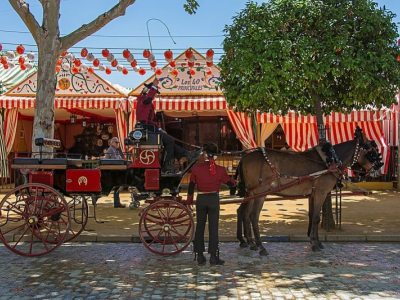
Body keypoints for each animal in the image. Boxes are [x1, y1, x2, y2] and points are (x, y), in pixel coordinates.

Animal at [236, 129, 382, 255]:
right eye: (372, 150)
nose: (379, 168)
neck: (330, 160)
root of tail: (244, 157)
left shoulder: (313, 194)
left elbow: (312, 216)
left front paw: (315, 241)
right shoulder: (321, 193)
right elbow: (317, 218)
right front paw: (315, 244)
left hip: (250, 192)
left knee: (244, 213)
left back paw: (251, 243)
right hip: (260, 193)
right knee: (253, 216)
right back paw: (261, 247)